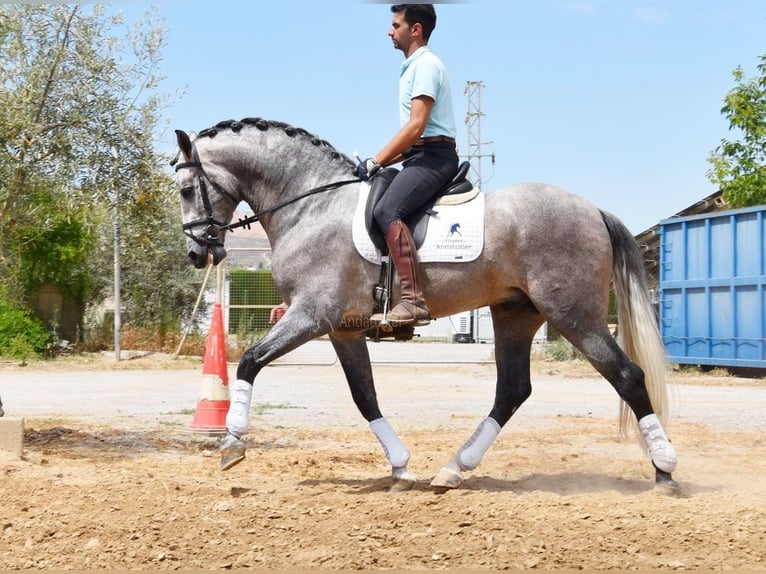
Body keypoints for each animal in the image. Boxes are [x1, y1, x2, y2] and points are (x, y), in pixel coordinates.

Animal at [172, 117, 680, 496]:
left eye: (184, 190)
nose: (197, 254)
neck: (311, 205)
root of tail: (594, 210)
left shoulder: (310, 315)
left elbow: (250, 362)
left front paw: (231, 444)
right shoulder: (342, 329)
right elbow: (365, 396)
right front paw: (400, 468)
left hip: (574, 316)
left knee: (627, 377)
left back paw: (664, 470)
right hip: (516, 314)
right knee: (512, 390)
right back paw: (454, 469)